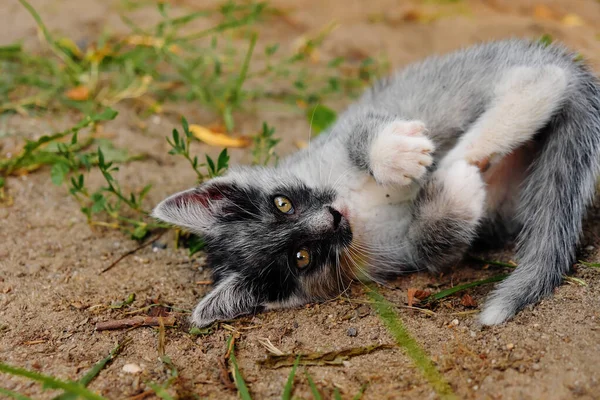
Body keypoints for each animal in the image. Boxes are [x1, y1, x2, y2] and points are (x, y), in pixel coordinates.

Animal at [154, 39, 600, 324]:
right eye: (301, 257)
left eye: (283, 203)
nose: (334, 219)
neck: (358, 206)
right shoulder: (406, 255)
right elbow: (435, 241)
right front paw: (451, 185)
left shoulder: (345, 132)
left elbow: (363, 136)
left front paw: (397, 155)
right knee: (538, 88)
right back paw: (464, 158)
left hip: (460, 86)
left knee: (539, 79)